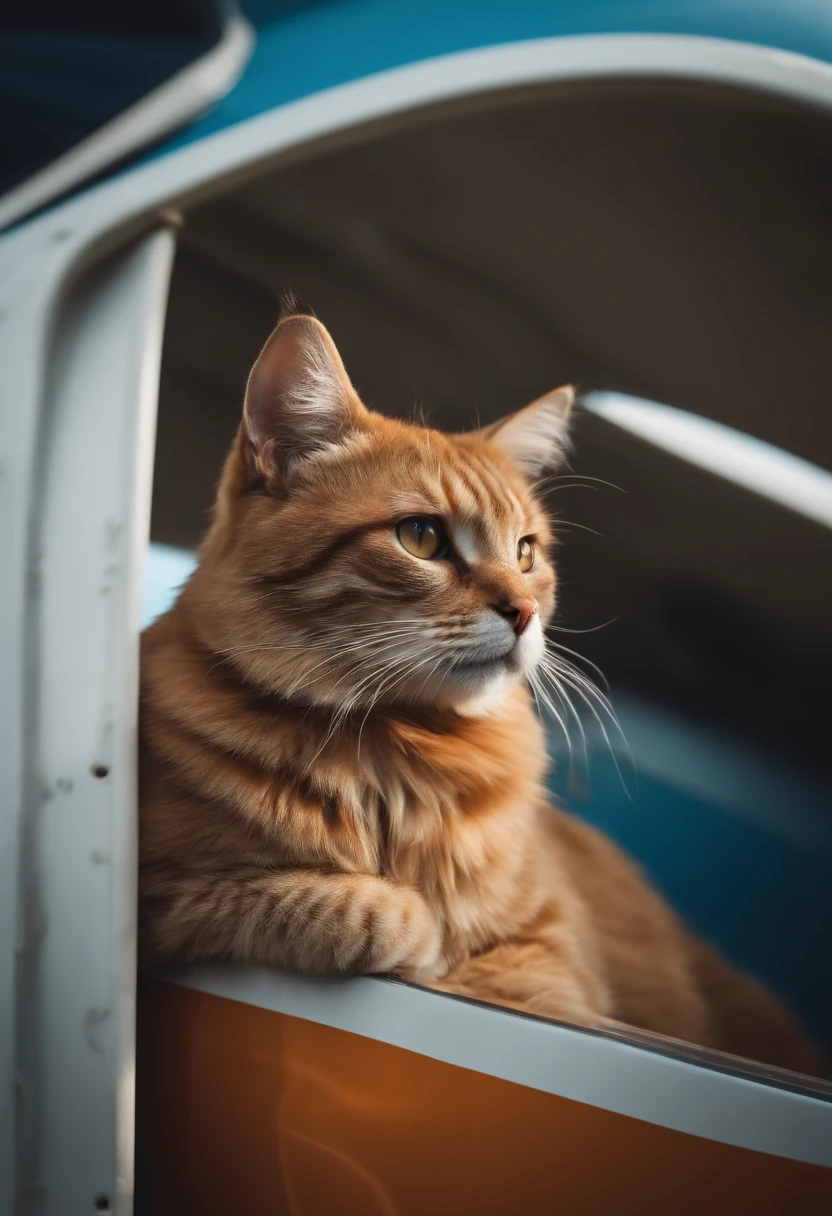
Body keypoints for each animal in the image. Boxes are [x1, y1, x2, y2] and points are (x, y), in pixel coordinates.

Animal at [139, 306, 817, 1074]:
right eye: (420, 537)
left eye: (526, 552)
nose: (522, 611)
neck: (395, 756)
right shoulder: (158, 893)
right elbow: (277, 895)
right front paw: (407, 918)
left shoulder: (546, 950)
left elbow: (513, 981)